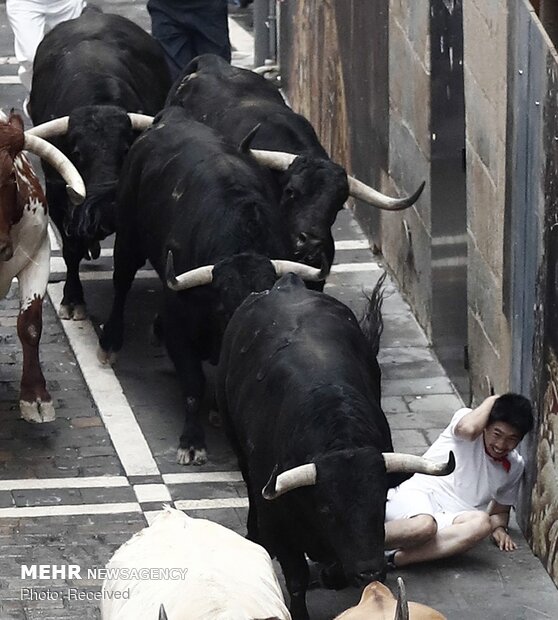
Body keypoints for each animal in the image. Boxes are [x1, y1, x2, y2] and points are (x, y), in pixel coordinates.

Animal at [27, 8, 171, 320]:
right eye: (77, 152)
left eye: (126, 148)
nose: (105, 210)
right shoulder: (56, 192)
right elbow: (70, 250)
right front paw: (72, 299)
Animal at [97, 108, 324, 464]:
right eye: (223, 307)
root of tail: (169, 118)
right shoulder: (179, 327)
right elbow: (194, 385)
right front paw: (191, 442)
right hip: (129, 234)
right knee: (121, 282)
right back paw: (110, 343)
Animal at [217, 276, 458, 620]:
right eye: (327, 509)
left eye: (382, 502)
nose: (370, 571)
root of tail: (286, 284)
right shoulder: (281, 528)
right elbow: (296, 580)